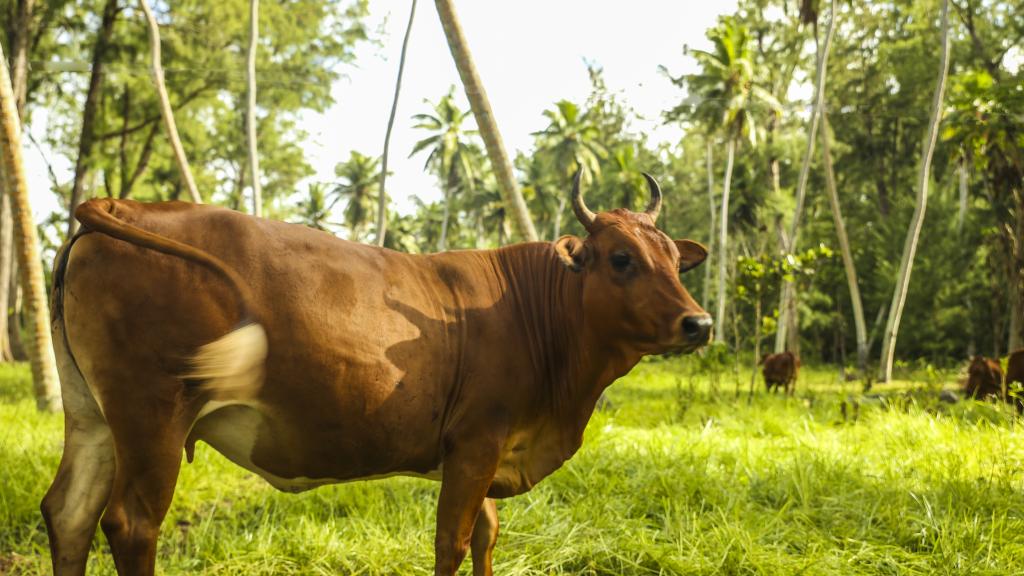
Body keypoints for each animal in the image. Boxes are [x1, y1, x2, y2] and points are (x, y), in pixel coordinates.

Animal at [41, 171, 712, 573]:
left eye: (676, 260)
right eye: (621, 258)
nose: (699, 323)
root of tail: (124, 202)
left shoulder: (484, 454)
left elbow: (487, 534)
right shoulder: (476, 443)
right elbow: (452, 540)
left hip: (93, 414)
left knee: (69, 512)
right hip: (152, 413)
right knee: (131, 522)